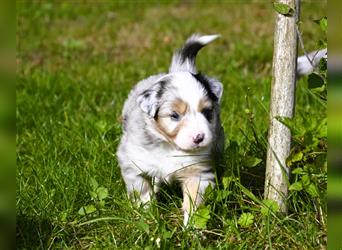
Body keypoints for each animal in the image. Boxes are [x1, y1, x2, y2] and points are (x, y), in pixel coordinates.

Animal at [117, 34, 224, 226]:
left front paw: (192, 228)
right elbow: (142, 190)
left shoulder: (197, 172)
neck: (170, 146)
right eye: (175, 115)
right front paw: (147, 215)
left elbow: (194, 202)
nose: (199, 137)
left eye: (207, 112)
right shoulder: (132, 161)